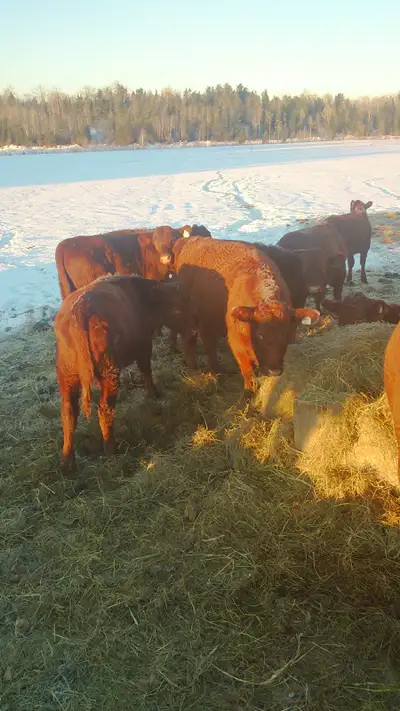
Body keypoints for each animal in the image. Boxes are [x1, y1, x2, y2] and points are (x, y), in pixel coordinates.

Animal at [54, 274, 197, 471]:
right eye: (176, 308)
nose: (194, 331)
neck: (141, 297)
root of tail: (80, 310)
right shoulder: (144, 345)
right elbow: (146, 369)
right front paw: (154, 393)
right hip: (109, 375)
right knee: (104, 409)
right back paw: (111, 450)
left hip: (67, 378)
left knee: (69, 412)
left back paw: (67, 462)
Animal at [173, 237, 320, 391]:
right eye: (260, 335)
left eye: (285, 334)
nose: (274, 371)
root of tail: (190, 240)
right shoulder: (237, 343)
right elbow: (247, 371)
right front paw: (249, 391)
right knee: (193, 341)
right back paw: (200, 372)